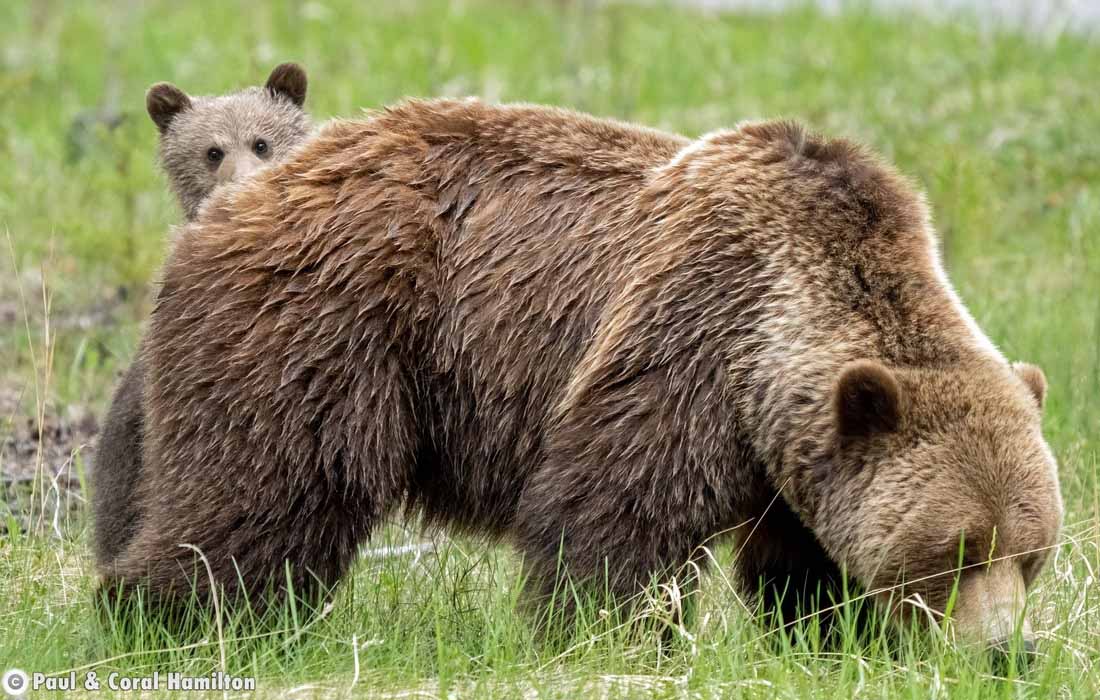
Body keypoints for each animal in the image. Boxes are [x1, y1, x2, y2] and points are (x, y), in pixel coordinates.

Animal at [107, 99, 1060, 651]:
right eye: (958, 549)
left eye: (1034, 552)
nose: (1011, 652)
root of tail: (229, 207)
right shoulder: (689, 329)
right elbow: (616, 515)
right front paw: (610, 637)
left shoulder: (796, 451)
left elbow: (804, 563)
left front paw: (838, 639)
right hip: (329, 326)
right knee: (267, 491)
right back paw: (173, 622)